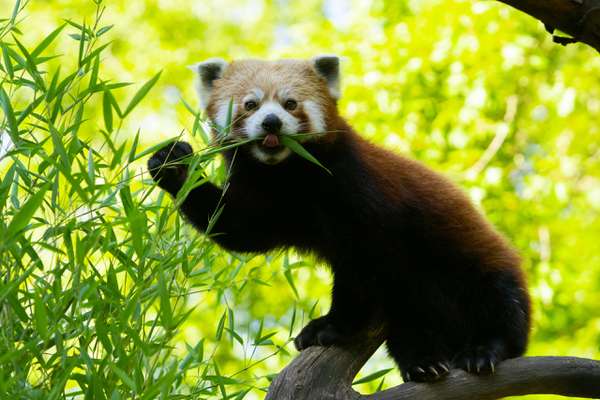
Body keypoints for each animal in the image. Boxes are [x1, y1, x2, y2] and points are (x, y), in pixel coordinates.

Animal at [149, 55, 528, 382]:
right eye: (250, 104)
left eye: (290, 103)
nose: (271, 122)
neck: (287, 174)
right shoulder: (266, 202)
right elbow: (239, 230)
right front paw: (173, 164)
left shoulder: (357, 193)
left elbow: (360, 273)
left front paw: (331, 326)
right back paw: (422, 361)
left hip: (471, 262)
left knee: (500, 304)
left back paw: (483, 350)